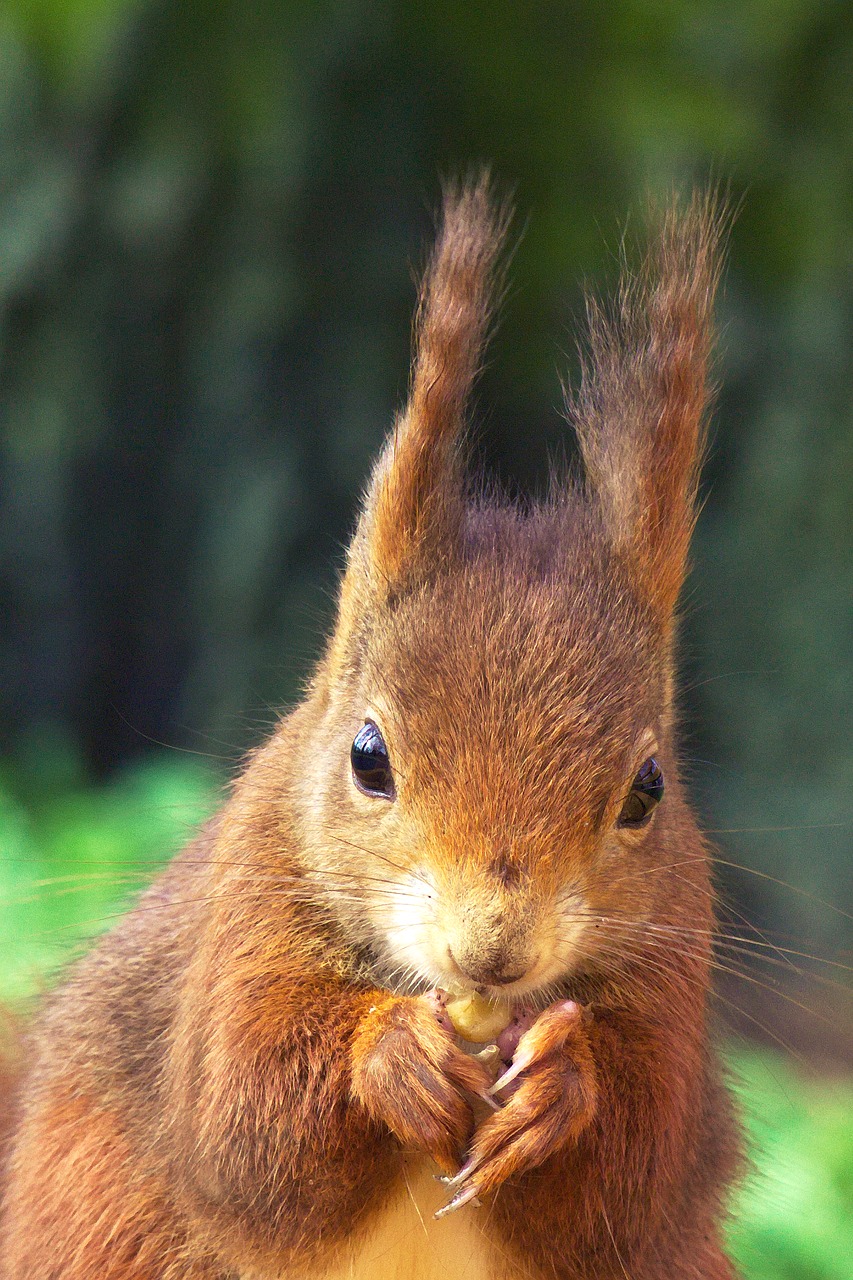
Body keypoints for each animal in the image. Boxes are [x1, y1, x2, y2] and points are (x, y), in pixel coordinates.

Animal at [0, 177, 737, 1280]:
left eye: (646, 791)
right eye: (367, 757)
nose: (493, 950)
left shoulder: (677, 960)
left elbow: (631, 1171)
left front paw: (563, 1084)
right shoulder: (244, 912)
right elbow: (245, 1118)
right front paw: (390, 1053)